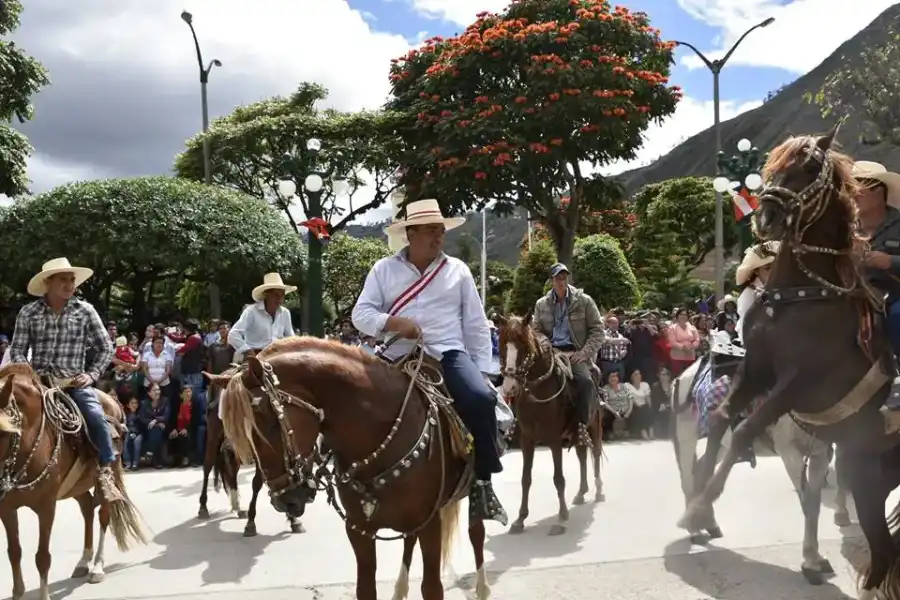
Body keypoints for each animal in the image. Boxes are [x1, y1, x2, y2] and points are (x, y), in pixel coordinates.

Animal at [0, 360, 146, 600]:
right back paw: (83, 562)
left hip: (108, 476)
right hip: (76, 485)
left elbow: (42, 557)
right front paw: (18, 594)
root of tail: (114, 403)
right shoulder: (7, 508)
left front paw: (44, 595)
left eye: (3, 433)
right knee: (87, 509)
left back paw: (97, 567)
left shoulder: (46, 507)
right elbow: (14, 552)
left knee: (103, 515)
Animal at [195, 384, 304, 540]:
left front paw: (293, 519)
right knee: (207, 467)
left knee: (231, 474)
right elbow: (258, 483)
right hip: (214, 438)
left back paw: (238, 507)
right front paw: (251, 524)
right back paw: (203, 507)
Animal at [213, 338, 492, 600]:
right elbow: (366, 588)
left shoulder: (431, 525)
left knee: (476, 532)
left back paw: (482, 587)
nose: (284, 501)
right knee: (409, 540)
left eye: (270, 422)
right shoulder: (359, 529)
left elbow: (432, 588)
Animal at [492, 314, 604, 536]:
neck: (538, 391)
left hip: (594, 425)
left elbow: (558, 479)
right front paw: (520, 519)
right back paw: (581, 492)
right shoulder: (527, 439)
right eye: (501, 345)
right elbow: (525, 478)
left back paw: (598, 489)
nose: (509, 387)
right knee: (582, 455)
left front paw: (561, 519)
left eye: (525, 347)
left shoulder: (553, 439)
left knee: (595, 453)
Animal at [680, 129, 900, 596]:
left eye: (810, 166)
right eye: (772, 164)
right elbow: (724, 419)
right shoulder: (757, 371)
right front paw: (697, 504)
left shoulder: (798, 384)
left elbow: (746, 429)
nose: (767, 217)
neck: (799, 296)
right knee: (884, 549)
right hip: (871, 471)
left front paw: (702, 504)